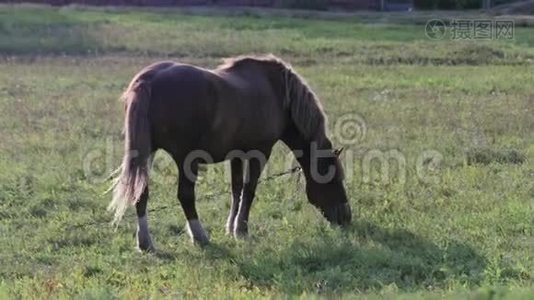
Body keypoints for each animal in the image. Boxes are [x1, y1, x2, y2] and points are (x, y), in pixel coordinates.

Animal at [109, 54, 352, 251]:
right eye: (335, 179)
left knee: (141, 193)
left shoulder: (236, 154)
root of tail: (149, 80)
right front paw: (241, 230)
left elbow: (236, 189)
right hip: (185, 159)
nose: (346, 218)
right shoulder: (260, 151)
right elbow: (249, 189)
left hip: (146, 153)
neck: (278, 93)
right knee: (185, 196)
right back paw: (199, 236)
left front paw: (230, 227)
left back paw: (145, 243)